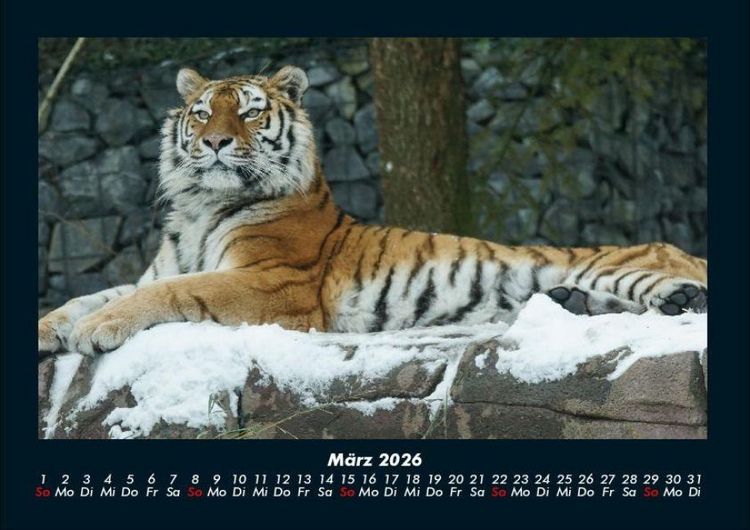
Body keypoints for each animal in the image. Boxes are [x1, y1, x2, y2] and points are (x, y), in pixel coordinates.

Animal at [38, 65, 708, 356]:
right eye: (202, 113)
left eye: (249, 112)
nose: (216, 142)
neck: (203, 206)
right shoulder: (163, 267)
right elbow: (89, 295)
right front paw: (54, 327)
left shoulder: (273, 282)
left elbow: (169, 294)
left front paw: (97, 331)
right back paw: (575, 304)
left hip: (625, 264)